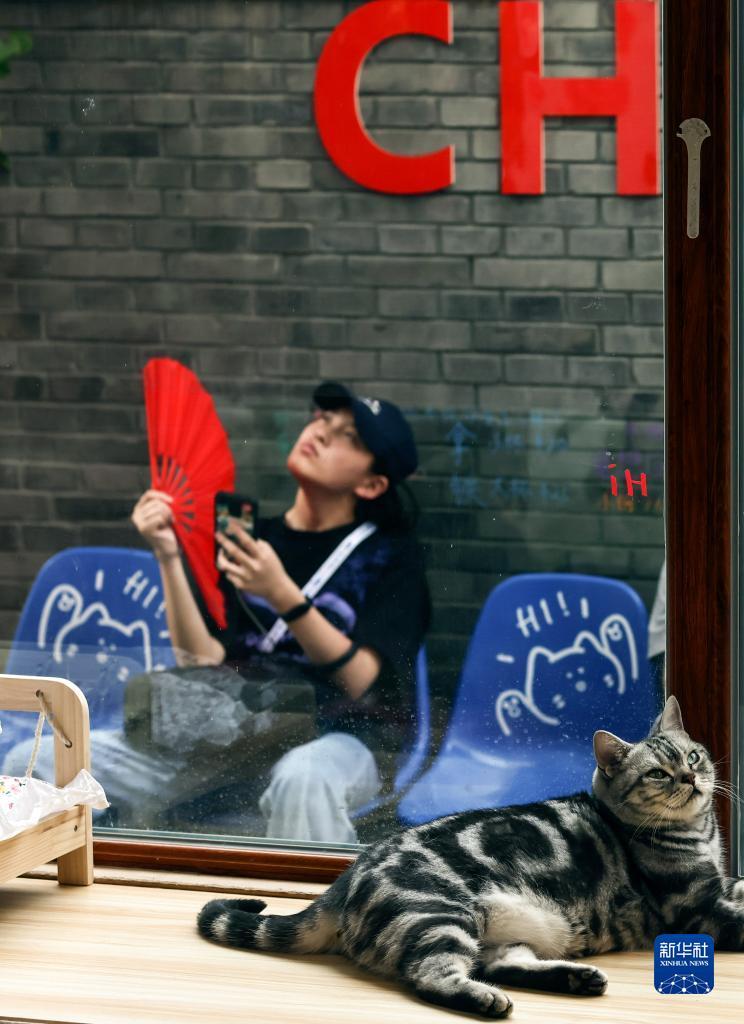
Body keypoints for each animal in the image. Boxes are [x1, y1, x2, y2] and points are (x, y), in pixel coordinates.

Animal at [197, 696, 739, 1018]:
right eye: (658, 774)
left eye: (692, 757)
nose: (691, 778)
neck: (700, 833)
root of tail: (343, 881)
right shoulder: (697, 906)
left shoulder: (719, 885)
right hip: (435, 915)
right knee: (433, 975)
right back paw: (487, 1000)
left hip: (511, 931)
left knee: (498, 964)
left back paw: (574, 977)